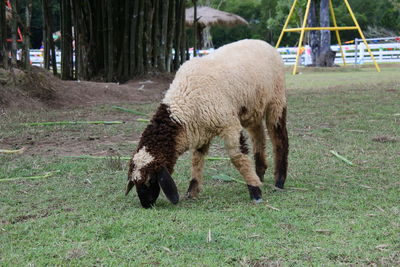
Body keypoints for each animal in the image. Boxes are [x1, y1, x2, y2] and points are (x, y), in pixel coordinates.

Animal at [125, 38, 288, 208]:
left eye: (151, 180)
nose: (146, 204)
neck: (184, 102)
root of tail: (264, 43)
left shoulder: (229, 125)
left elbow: (238, 158)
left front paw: (255, 191)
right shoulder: (201, 131)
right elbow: (197, 160)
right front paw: (192, 192)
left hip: (276, 101)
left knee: (280, 140)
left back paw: (279, 181)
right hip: (253, 109)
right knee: (259, 137)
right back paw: (260, 174)